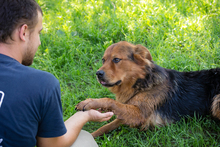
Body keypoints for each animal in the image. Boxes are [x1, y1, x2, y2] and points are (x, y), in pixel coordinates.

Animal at [75, 40, 220, 137]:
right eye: (103, 60)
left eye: (116, 59)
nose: (98, 74)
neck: (141, 84)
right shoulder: (129, 113)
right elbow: (106, 126)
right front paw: (91, 135)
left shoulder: (140, 114)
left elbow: (109, 101)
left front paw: (90, 102)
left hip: (216, 101)